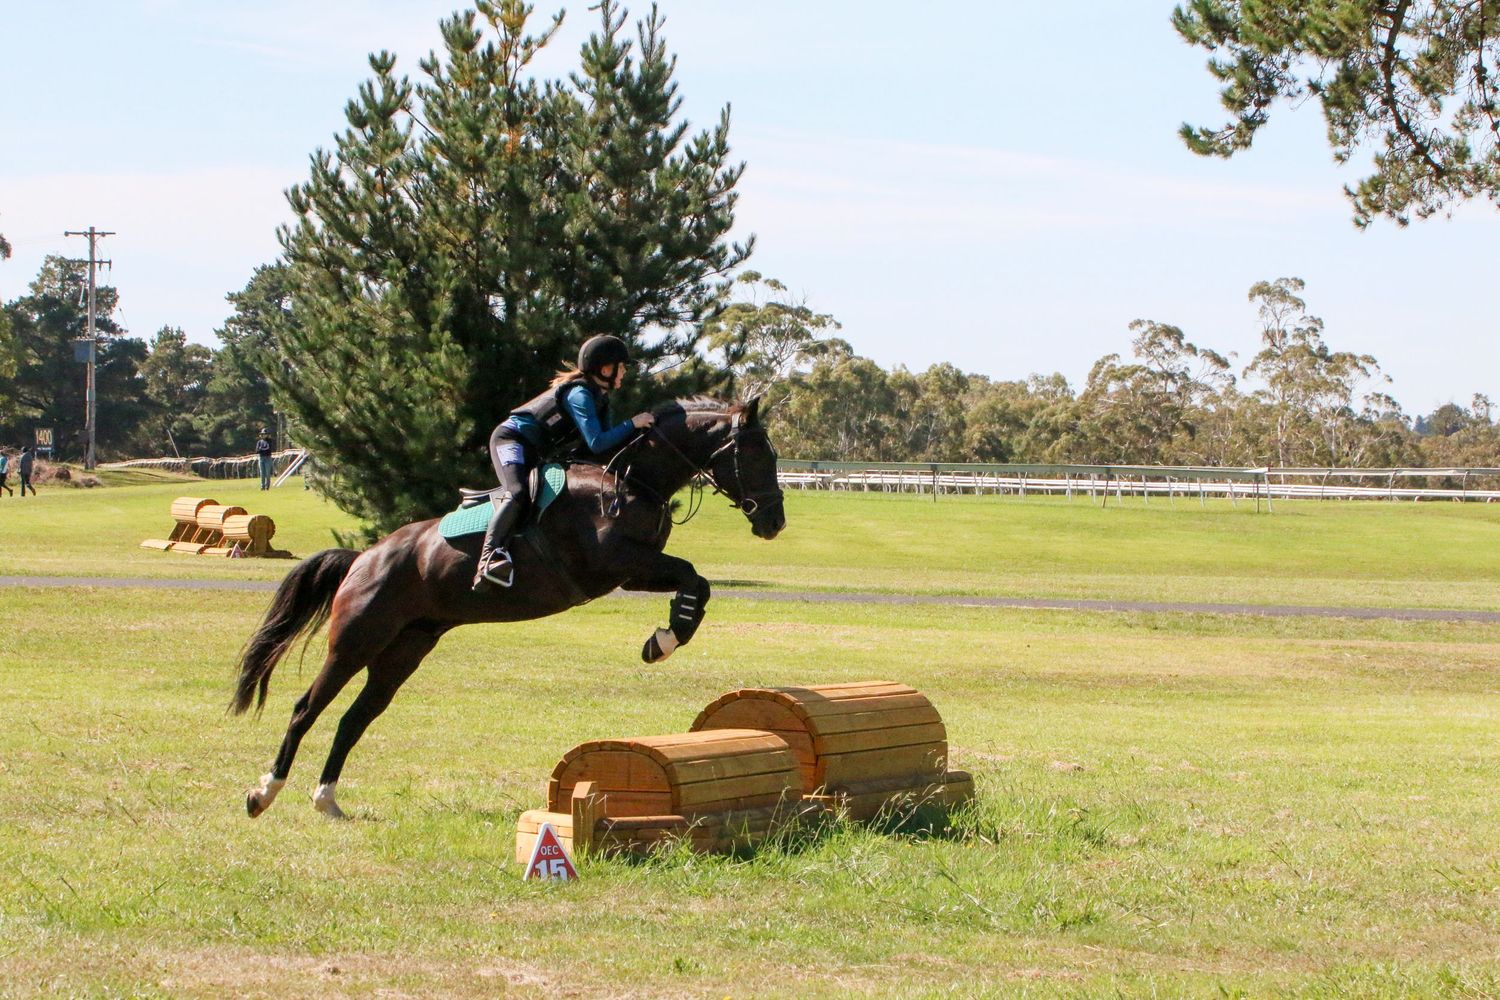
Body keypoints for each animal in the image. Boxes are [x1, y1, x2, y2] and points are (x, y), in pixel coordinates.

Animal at [229, 395, 785, 819]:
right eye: (757, 454)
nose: (774, 522)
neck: (629, 480)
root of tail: (363, 558)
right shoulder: (618, 565)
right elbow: (692, 575)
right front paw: (665, 640)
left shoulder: (634, 570)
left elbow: (698, 582)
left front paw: (666, 637)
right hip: (355, 643)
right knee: (306, 709)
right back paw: (263, 793)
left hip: (404, 650)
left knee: (353, 718)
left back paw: (326, 800)